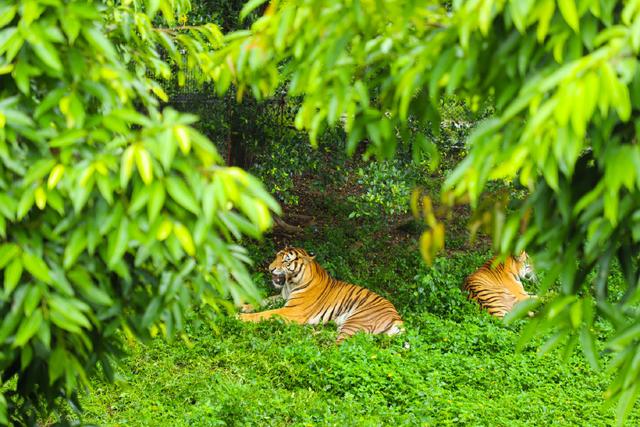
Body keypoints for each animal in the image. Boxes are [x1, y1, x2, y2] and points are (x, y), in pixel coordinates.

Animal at [238, 247, 402, 344]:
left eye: (286, 261)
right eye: (276, 257)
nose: (270, 268)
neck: (290, 284)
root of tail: (397, 317)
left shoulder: (292, 311)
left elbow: (264, 314)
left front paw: (240, 317)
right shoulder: (282, 298)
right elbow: (261, 301)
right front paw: (242, 305)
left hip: (356, 322)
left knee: (338, 347)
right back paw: (312, 333)